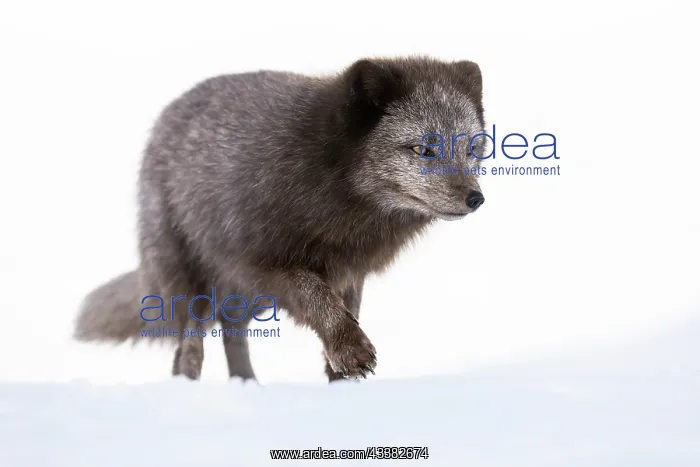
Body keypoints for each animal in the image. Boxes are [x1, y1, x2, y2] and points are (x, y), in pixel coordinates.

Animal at [73, 56, 487, 382]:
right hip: (188, 278)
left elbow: (347, 309)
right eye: (424, 149)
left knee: (231, 330)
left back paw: (248, 387)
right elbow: (319, 300)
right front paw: (352, 352)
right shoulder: (266, 262)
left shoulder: (350, 270)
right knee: (189, 345)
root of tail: (165, 118)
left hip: (243, 295)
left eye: (472, 148)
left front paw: (341, 383)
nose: (476, 199)